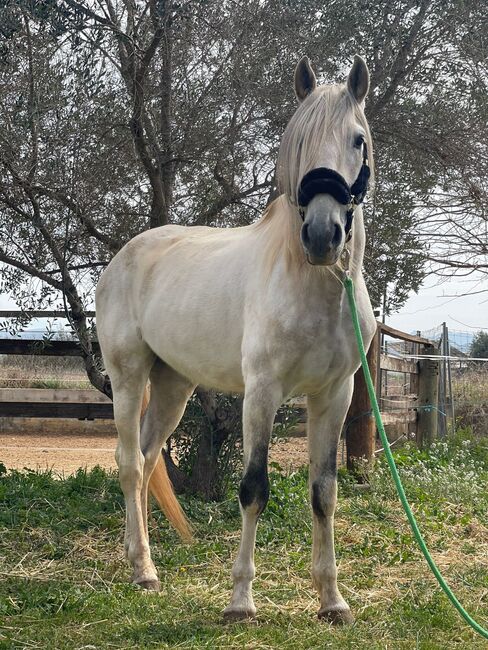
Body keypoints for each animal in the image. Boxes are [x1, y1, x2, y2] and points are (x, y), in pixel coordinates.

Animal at [96, 53, 378, 620]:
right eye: (299, 141)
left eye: (357, 139)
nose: (322, 235)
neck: (313, 285)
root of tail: (123, 257)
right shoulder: (262, 394)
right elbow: (253, 489)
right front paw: (240, 601)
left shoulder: (334, 396)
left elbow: (324, 492)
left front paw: (332, 600)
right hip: (128, 377)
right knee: (129, 464)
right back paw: (142, 569)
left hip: (174, 386)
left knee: (148, 458)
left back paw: (142, 557)